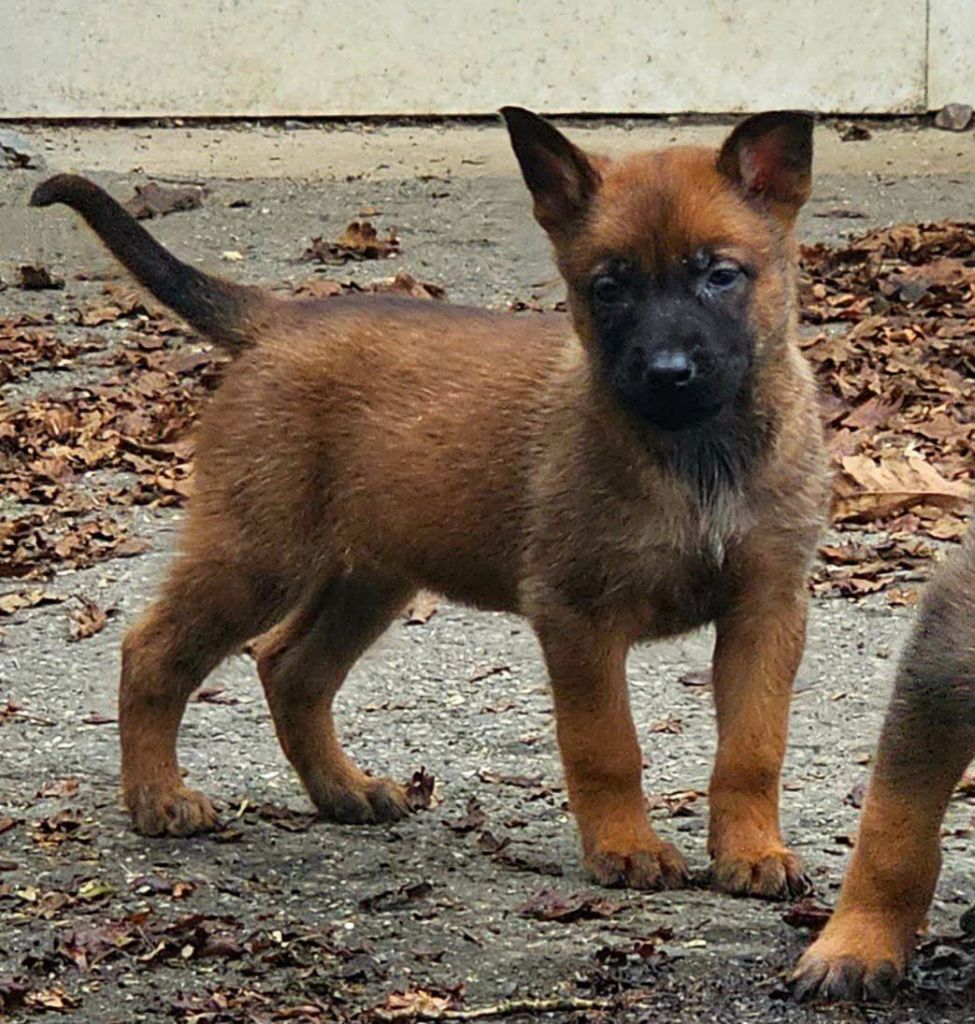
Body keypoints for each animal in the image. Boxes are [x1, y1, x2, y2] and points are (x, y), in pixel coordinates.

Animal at [30, 110, 827, 897]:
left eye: (720, 276)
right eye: (608, 288)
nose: (667, 372)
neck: (697, 453)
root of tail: (276, 320)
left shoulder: (766, 608)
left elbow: (752, 750)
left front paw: (752, 852)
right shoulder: (577, 614)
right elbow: (606, 745)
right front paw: (626, 847)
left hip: (368, 576)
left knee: (290, 667)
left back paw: (342, 789)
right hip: (256, 557)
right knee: (152, 652)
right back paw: (158, 797)